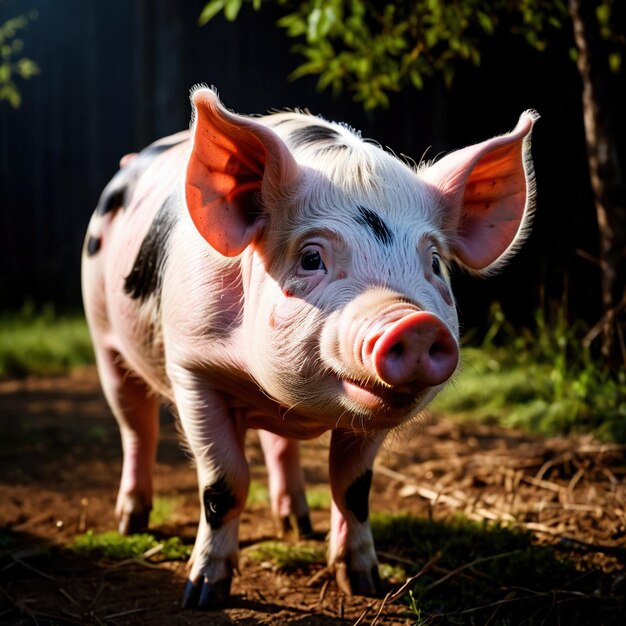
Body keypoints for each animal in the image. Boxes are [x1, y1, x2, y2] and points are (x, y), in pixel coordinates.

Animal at [79, 85, 536, 608]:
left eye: (435, 262)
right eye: (312, 257)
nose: (414, 323)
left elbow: (352, 487)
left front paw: (365, 583)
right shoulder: (192, 369)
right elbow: (223, 483)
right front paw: (203, 594)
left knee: (278, 445)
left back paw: (296, 525)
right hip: (104, 339)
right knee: (136, 426)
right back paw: (132, 522)